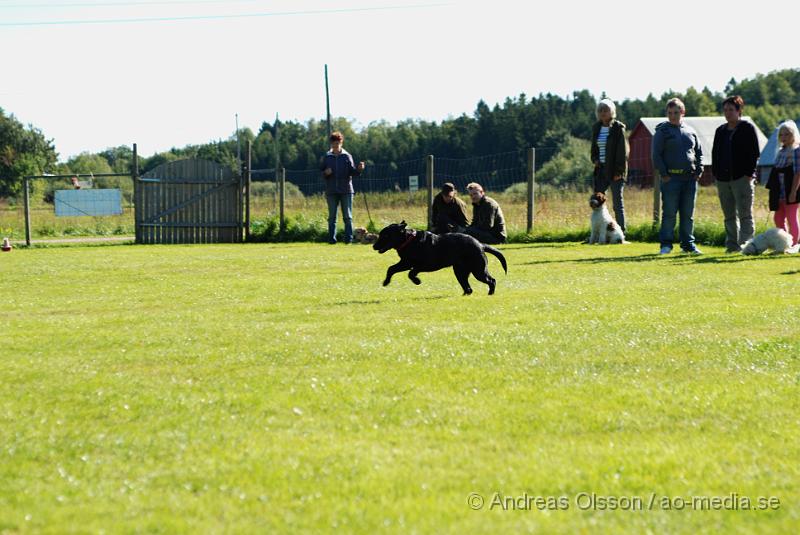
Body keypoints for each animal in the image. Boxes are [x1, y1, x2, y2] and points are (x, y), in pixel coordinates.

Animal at [374, 222, 510, 298]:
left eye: (386, 235)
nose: (374, 246)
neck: (408, 240)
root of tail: (480, 244)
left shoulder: (423, 265)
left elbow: (411, 273)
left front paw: (417, 281)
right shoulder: (405, 263)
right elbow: (391, 269)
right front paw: (386, 282)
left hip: (478, 270)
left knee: (492, 280)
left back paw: (490, 294)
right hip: (460, 272)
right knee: (468, 288)